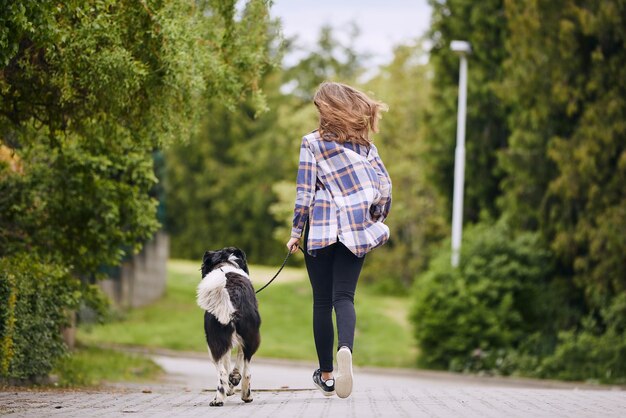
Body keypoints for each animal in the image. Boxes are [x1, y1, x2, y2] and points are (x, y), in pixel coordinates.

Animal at [197, 247, 260, 406]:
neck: (225, 263)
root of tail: (231, 294)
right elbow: (238, 360)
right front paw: (233, 382)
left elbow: (227, 362)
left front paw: (229, 388)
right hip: (251, 335)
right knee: (247, 370)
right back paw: (246, 395)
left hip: (213, 340)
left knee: (222, 371)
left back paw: (219, 398)